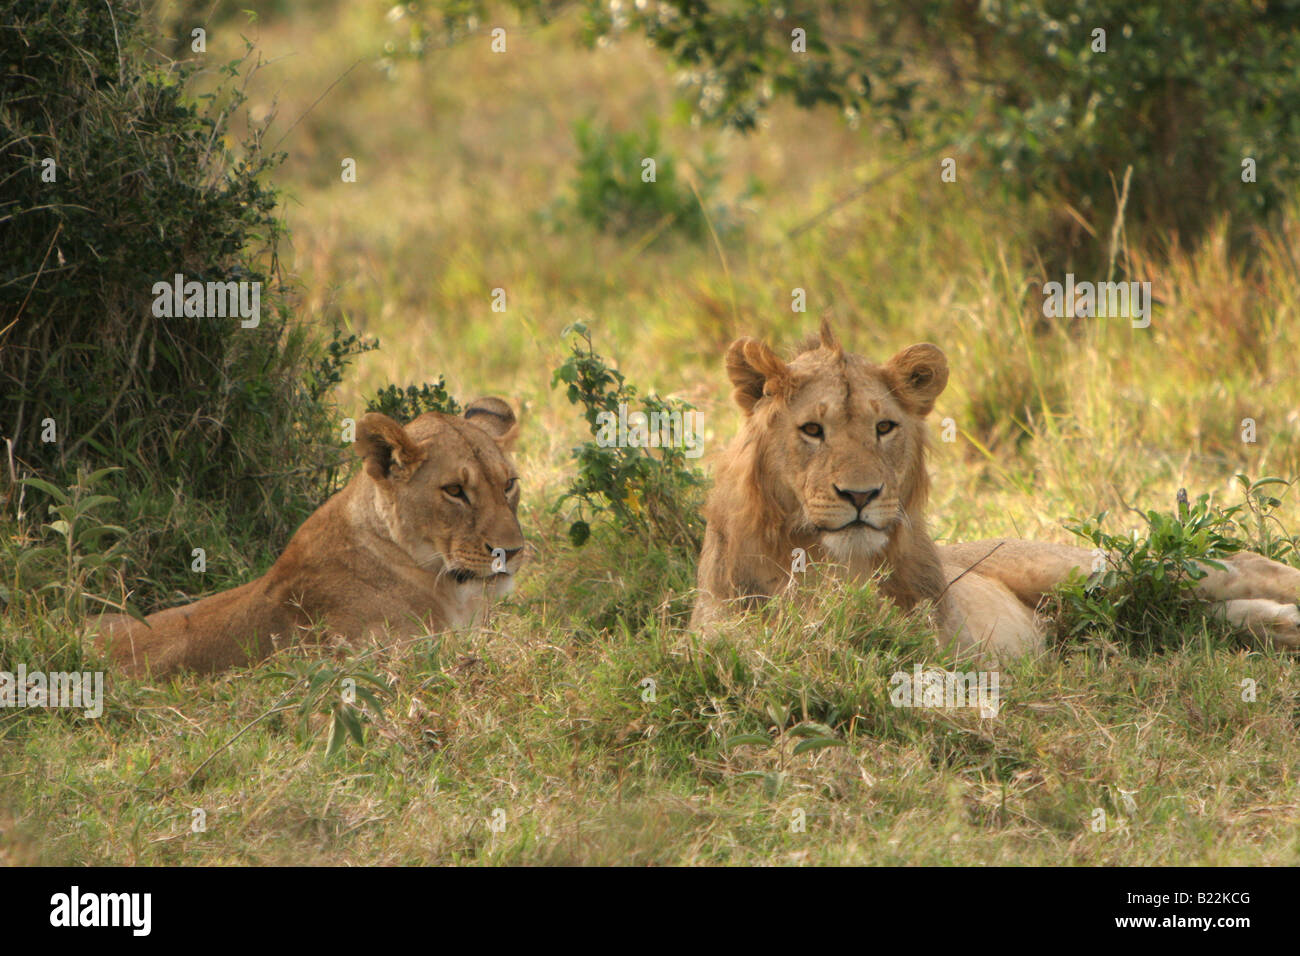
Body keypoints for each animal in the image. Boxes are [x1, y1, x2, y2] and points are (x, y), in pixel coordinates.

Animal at [692, 322, 1300, 660]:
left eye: (884, 427)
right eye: (812, 430)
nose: (861, 495)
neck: (837, 565)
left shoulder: (934, 639)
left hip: (1080, 571)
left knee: (1223, 566)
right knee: (1177, 613)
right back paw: (1279, 628)